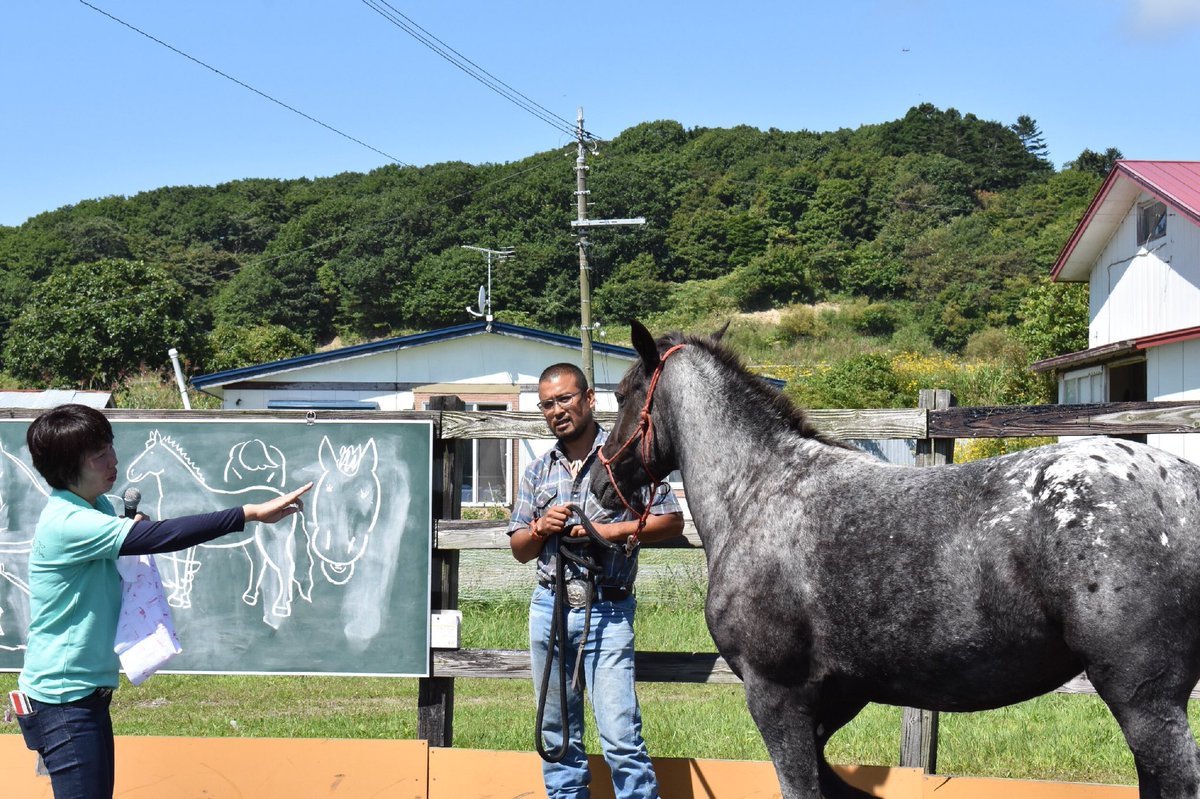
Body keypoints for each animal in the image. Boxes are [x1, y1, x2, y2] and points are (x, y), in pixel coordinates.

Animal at [124, 430, 309, 629]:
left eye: (151, 452)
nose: (130, 472)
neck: (183, 493)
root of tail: (290, 503)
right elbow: (183, 571)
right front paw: (182, 597)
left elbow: (180, 570)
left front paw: (180, 599)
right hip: (254, 542)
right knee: (259, 565)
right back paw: (251, 597)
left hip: (275, 541)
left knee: (284, 569)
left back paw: (280, 609)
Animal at [590, 321, 1200, 799]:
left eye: (621, 396)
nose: (598, 480)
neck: (759, 490)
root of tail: (1183, 482)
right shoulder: (836, 695)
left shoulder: (775, 695)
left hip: (1144, 698)